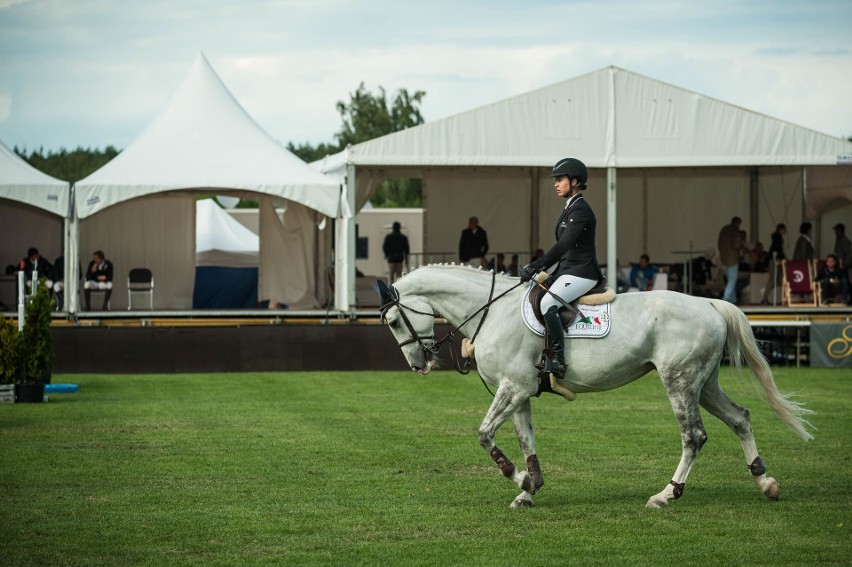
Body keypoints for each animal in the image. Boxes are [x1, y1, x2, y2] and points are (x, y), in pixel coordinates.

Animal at [376, 266, 816, 510]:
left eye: (394, 322)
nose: (420, 364)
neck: (492, 310)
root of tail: (708, 303)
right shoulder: (518, 391)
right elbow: (526, 442)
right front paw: (529, 490)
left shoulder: (513, 389)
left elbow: (485, 436)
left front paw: (520, 481)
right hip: (703, 383)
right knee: (740, 418)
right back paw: (765, 482)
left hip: (679, 381)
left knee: (694, 436)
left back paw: (666, 494)